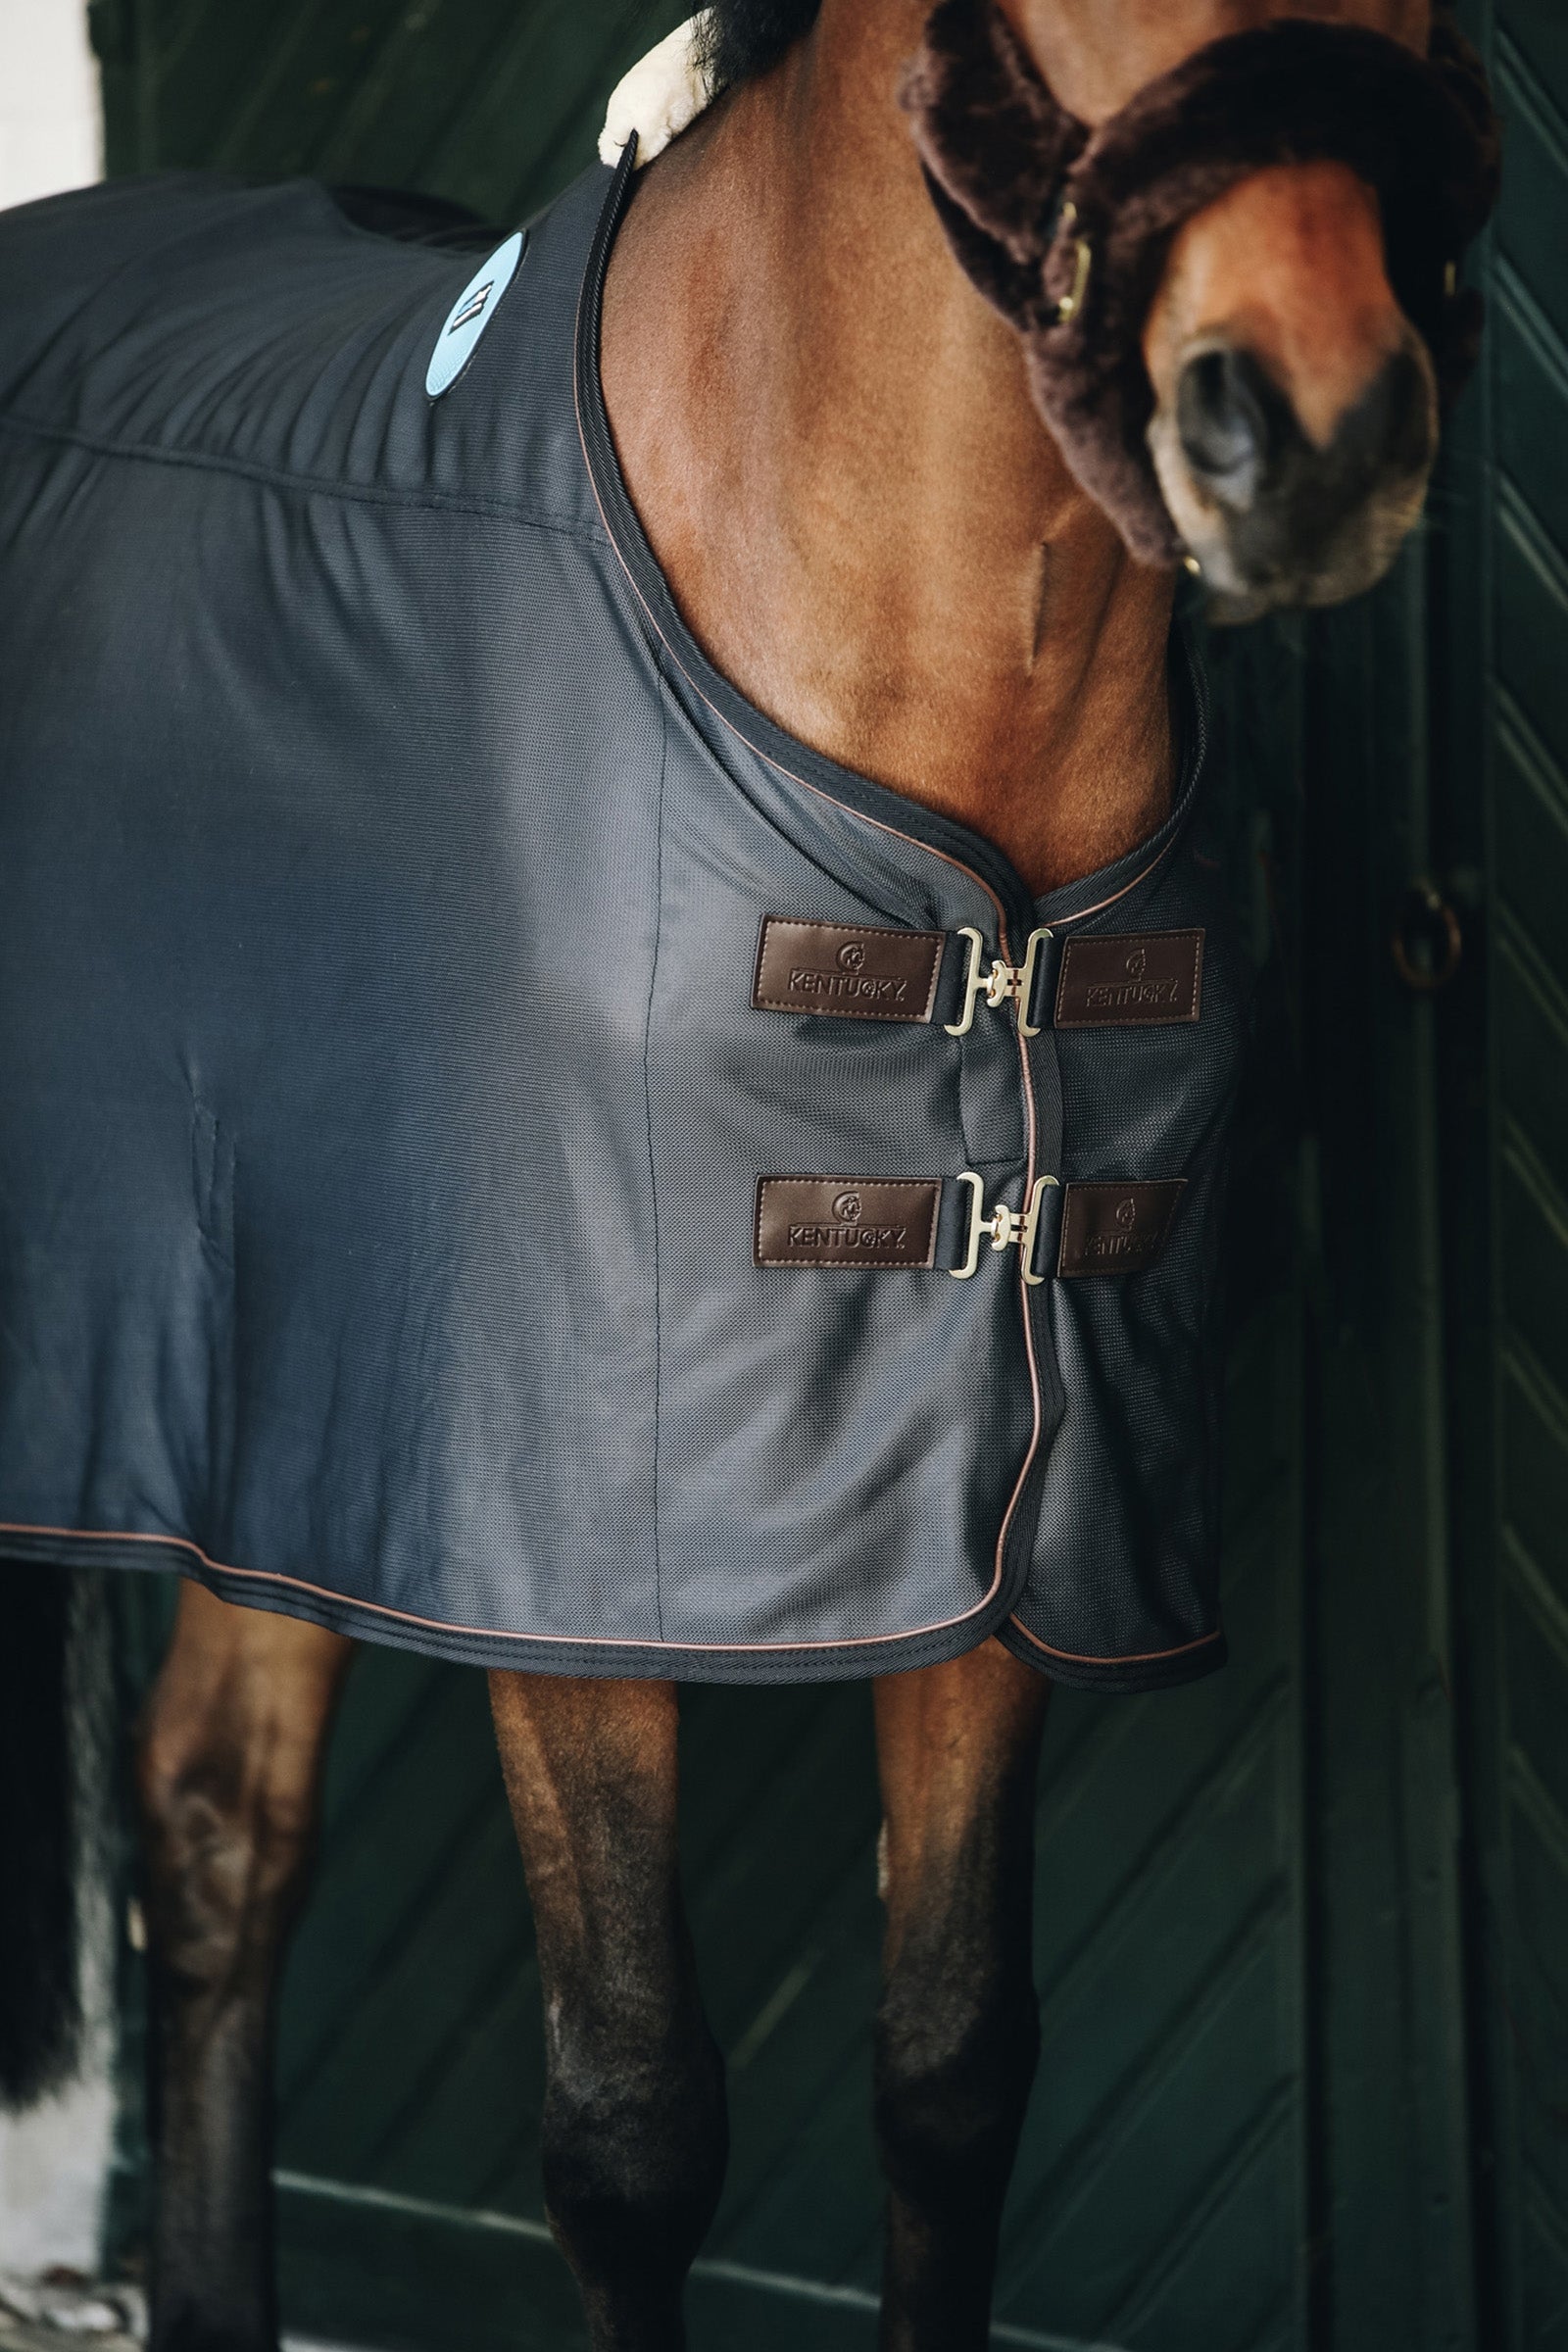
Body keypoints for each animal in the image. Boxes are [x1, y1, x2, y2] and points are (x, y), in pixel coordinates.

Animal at [0, 2, 1497, 2348]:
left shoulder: (1002, 1517)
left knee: (220, 1825)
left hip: (268, 1417)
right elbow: (631, 2128)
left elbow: (955, 2071)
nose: (1319, 434)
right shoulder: (547, 1559)